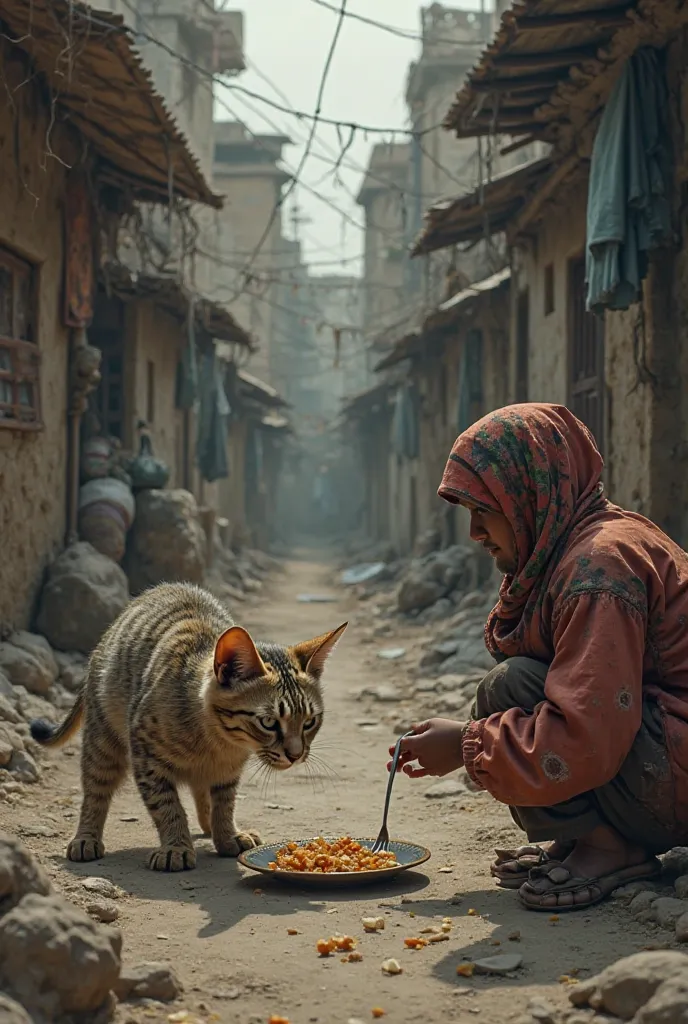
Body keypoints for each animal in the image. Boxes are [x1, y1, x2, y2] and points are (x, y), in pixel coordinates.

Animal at [30, 585, 346, 872]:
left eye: (309, 722)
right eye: (269, 722)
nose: (296, 754)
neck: (217, 742)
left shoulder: (228, 770)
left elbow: (224, 803)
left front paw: (227, 835)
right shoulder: (145, 757)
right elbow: (167, 807)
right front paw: (176, 847)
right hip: (103, 742)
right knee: (95, 790)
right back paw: (86, 837)